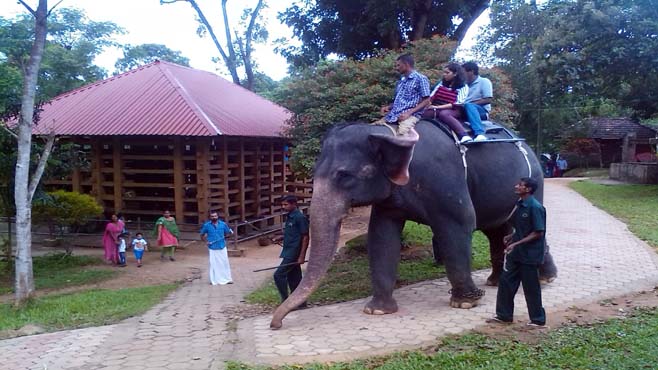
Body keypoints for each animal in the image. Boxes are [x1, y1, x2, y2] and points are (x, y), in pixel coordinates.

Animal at [270, 120, 556, 330]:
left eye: (344, 175)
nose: (276, 324)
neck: (390, 134)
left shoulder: (444, 179)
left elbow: (460, 224)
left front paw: (464, 304)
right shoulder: (389, 196)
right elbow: (381, 236)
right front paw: (377, 310)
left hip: (535, 182)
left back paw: (544, 278)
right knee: (497, 231)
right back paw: (499, 281)